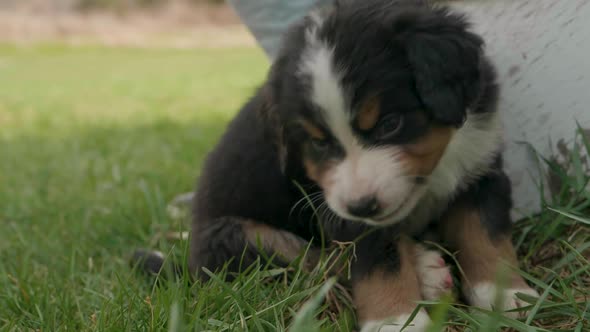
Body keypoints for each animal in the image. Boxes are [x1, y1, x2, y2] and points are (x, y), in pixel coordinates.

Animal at [157, 0, 540, 330]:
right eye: (319, 142)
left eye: (390, 124)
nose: (363, 205)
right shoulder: (339, 213)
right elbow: (376, 264)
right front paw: (395, 321)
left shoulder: (481, 169)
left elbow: (486, 236)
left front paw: (506, 296)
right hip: (236, 234)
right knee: (314, 262)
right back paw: (426, 272)